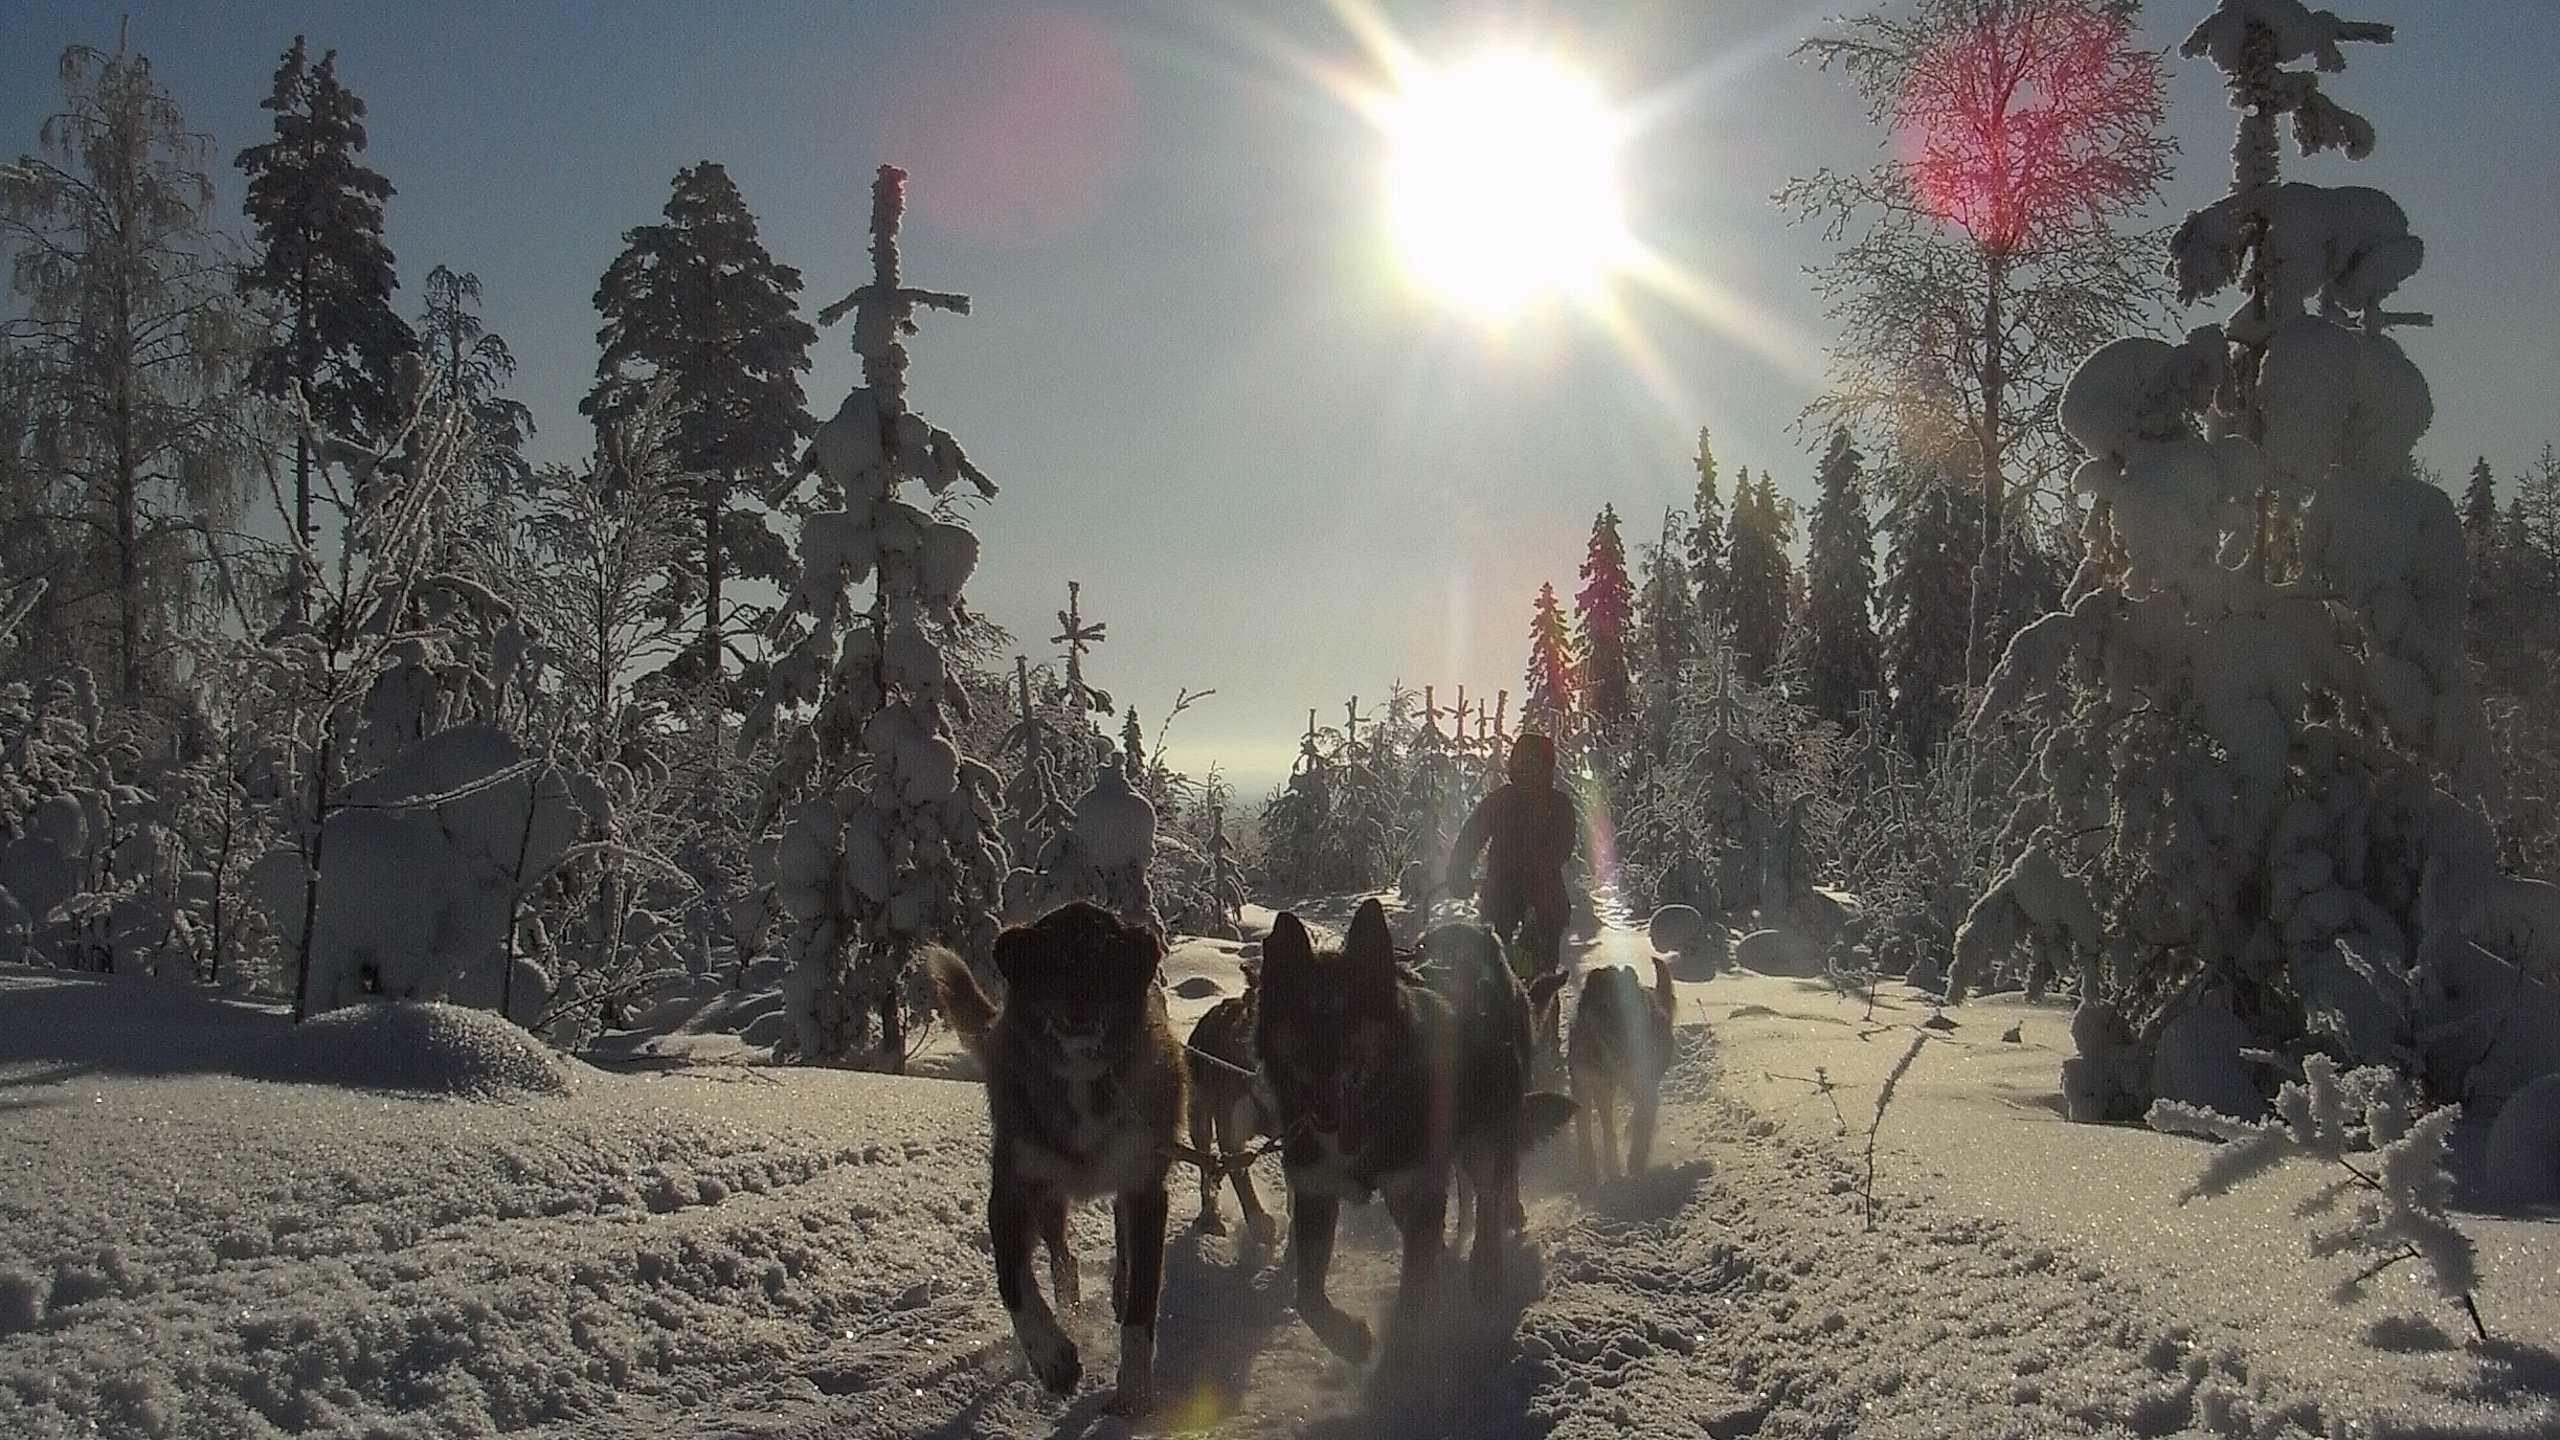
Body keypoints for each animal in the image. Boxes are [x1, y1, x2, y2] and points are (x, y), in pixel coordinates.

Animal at [931, 901, 1187, 1404]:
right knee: (1062, 1259)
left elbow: (1143, 1297)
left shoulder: (1145, 1188)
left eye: (1107, 960)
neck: (1080, 1078)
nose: (1079, 1002)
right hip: (1049, 1201)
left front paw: (1133, 1388)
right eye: (1050, 963)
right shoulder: (1012, 1191)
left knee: (1121, 1251)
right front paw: (1052, 1357)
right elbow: (1012, 1280)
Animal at [1192, 958, 1290, 1240]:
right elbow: (1241, 1177)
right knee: (1206, 1165)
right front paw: (1258, 1221)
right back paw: (1210, 1214)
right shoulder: (1231, 1132)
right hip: (1199, 1116)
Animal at [1249, 896, 1566, 1363]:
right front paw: (1348, 1339)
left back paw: (1487, 1265)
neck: (1372, 1106)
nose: (1322, 1068)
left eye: (1352, 1015)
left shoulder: (1418, 1188)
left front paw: (1399, 1355)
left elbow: (1412, 1298)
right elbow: (1306, 1296)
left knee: (1491, 1196)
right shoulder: (1317, 1192)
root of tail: (1473, 933)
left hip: (1484, 1135)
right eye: (1301, 1016)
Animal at [1556, 953, 1679, 1178]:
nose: (1626, 1036)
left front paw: (1633, 1160)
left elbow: (1642, 1118)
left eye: (1631, 1008)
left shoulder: (1636, 1081)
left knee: (1646, 1107)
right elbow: (1588, 1128)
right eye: (1604, 1007)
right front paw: (1591, 1167)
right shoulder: (1585, 1084)